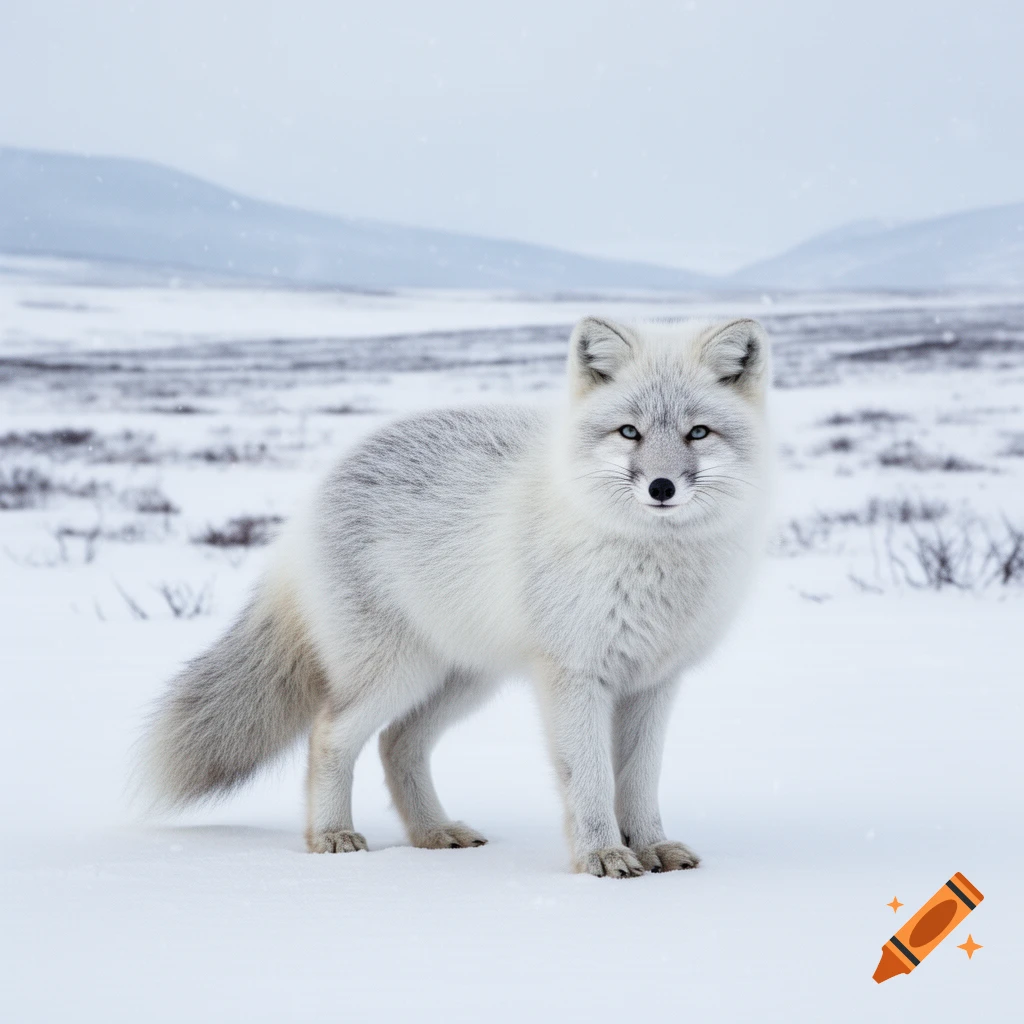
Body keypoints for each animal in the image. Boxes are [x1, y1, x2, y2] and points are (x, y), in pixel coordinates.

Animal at [141, 315, 772, 877]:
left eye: (697, 433)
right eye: (629, 432)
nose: (661, 487)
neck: (650, 562)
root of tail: (315, 493)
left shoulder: (653, 683)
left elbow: (639, 782)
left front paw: (652, 847)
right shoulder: (575, 676)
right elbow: (591, 780)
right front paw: (602, 856)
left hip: (461, 679)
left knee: (397, 744)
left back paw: (432, 833)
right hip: (397, 673)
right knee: (329, 735)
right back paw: (333, 835)